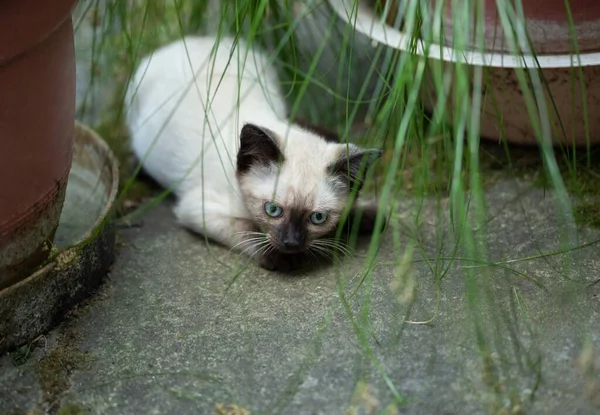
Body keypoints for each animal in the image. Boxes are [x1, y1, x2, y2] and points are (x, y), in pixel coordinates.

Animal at [124, 35, 382, 272]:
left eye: (317, 218)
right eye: (272, 210)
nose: (291, 243)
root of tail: (184, 40)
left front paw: (367, 216)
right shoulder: (198, 210)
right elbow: (246, 229)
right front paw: (281, 258)